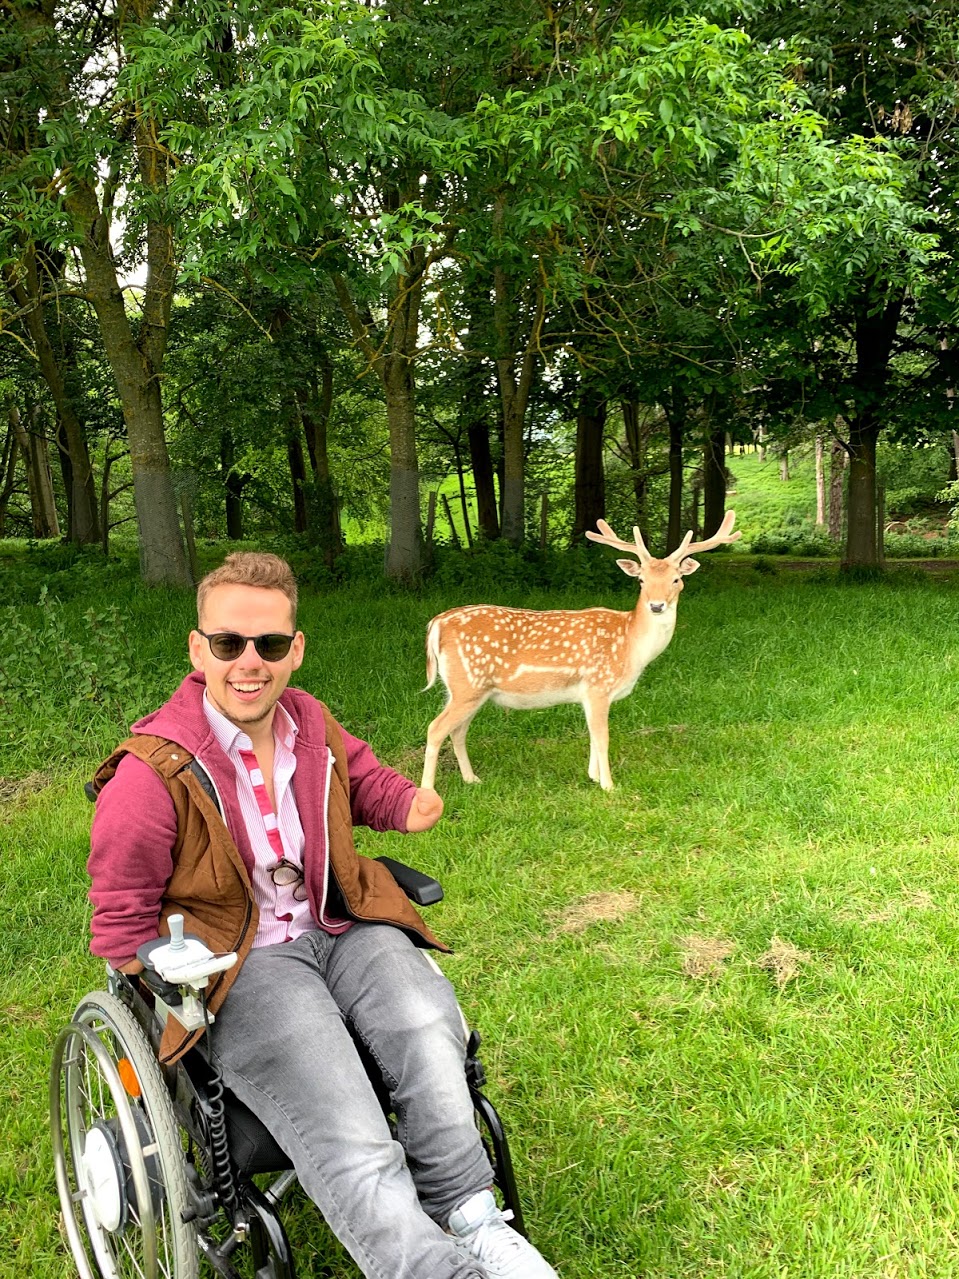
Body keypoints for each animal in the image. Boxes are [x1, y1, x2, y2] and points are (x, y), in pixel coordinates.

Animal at [421, 509, 741, 787]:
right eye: (641, 580)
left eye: (676, 579)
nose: (657, 605)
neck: (631, 647)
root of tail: (437, 623)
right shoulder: (599, 685)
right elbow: (603, 737)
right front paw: (609, 785)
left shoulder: (588, 694)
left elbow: (591, 736)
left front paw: (593, 776)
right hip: (468, 684)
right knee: (436, 728)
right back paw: (428, 790)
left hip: (468, 689)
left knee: (457, 730)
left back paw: (471, 779)